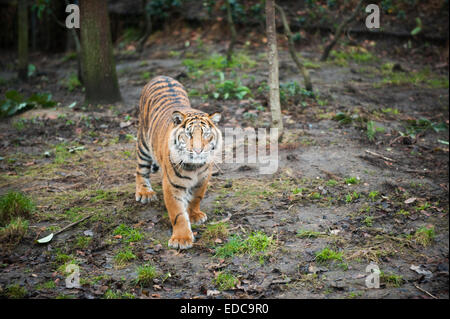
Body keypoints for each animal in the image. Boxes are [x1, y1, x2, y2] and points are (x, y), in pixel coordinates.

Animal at [136, 75, 222, 250]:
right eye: (188, 134)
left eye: (206, 134)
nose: (198, 151)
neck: (195, 167)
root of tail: (161, 76)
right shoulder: (172, 185)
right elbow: (178, 214)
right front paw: (181, 239)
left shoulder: (203, 179)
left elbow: (196, 197)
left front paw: (194, 215)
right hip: (144, 143)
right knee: (140, 169)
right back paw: (145, 193)